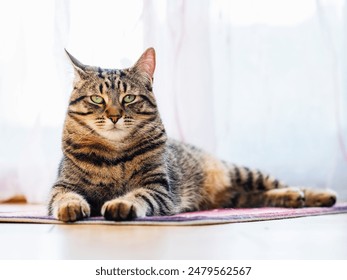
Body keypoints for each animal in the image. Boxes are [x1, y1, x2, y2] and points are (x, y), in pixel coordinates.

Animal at [47, 48, 338, 223]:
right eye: (97, 99)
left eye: (129, 98)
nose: (114, 115)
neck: (113, 156)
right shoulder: (63, 185)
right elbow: (64, 197)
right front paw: (71, 207)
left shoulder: (158, 188)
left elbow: (138, 195)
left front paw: (121, 204)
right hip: (237, 195)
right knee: (258, 196)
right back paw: (292, 197)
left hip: (239, 171)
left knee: (277, 184)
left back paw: (318, 195)